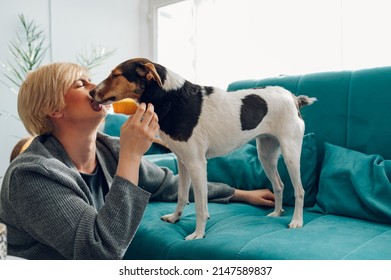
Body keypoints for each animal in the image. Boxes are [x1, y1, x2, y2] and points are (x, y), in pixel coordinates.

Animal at [90, 57, 316, 241]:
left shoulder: (197, 164)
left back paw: (297, 221)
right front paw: (175, 217)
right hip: (266, 155)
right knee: (279, 185)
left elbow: (200, 205)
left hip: (290, 153)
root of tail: (293, 98)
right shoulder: (183, 162)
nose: (91, 91)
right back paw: (277, 213)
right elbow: (182, 196)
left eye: (115, 75)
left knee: (299, 190)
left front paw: (198, 234)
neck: (172, 97)